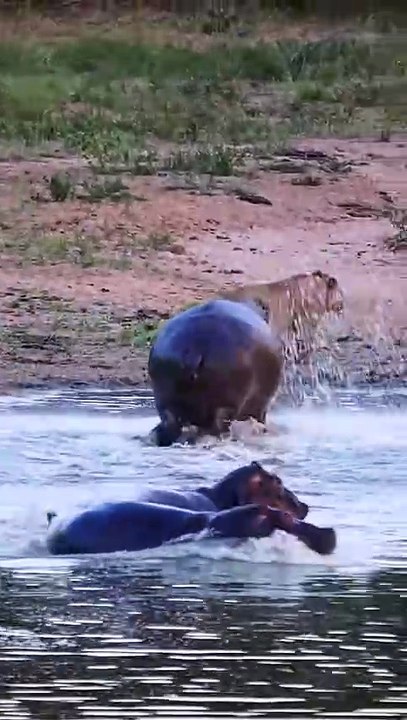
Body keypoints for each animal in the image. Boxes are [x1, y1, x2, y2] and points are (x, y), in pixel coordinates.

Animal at [148, 299, 283, 446]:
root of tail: (193, 348)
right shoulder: (261, 405)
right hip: (227, 403)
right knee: (217, 428)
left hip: (164, 398)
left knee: (169, 424)